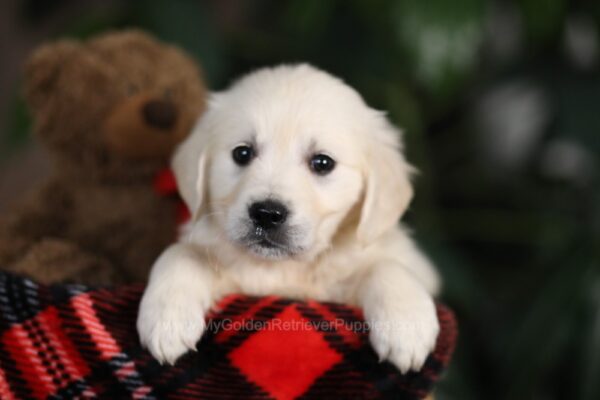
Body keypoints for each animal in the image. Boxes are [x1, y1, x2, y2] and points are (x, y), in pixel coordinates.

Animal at [138, 64, 442, 374]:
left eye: (322, 162)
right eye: (242, 153)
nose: (267, 214)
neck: (282, 268)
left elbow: (387, 266)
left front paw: (407, 328)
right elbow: (181, 253)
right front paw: (167, 319)